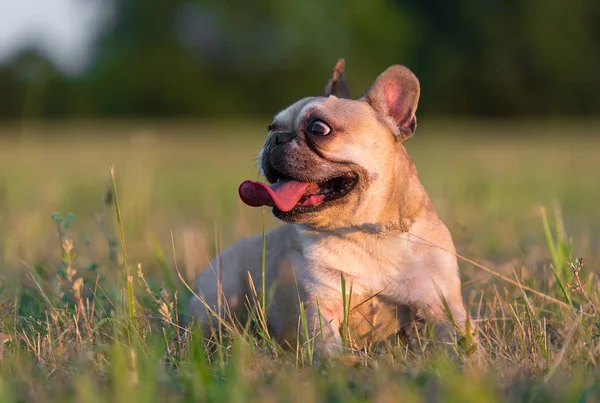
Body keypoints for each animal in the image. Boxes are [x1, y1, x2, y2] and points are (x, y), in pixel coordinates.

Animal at [185, 58, 466, 356]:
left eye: (318, 128)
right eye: (271, 127)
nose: (275, 139)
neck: (367, 231)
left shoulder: (442, 305)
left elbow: (457, 339)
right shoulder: (323, 304)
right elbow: (327, 343)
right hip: (216, 299)